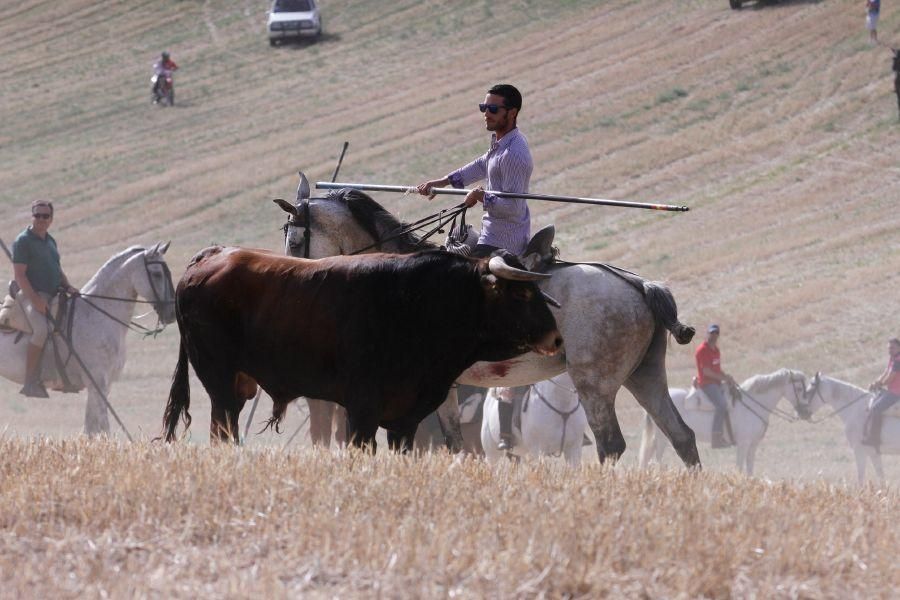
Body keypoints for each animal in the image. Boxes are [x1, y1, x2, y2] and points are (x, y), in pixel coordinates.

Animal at [0, 244, 178, 436]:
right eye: (157, 274)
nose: (172, 313)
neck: (95, 314)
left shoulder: (103, 387)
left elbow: (91, 429)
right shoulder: (96, 384)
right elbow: (101, 429)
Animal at [276, 176, 704, 466]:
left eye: (295, 241)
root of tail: (640, 285)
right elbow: (450, 442)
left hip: (594, 383)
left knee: (611, 444)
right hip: (645, 375)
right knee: (682, 436)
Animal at [636, 368, 812, 476]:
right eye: (800, 388)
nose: (806, 412)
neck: (753, 404)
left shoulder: (752, 445)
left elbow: (749, 469)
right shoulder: (743, 444)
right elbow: (740, 467)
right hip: (663, 439)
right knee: (656, 460)